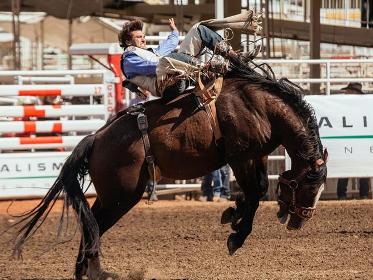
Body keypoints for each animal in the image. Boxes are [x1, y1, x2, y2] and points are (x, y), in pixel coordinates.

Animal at [11, 59, 326, 280]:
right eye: (308, 185)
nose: (300, 222)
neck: (259, 106)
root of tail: (96, 138)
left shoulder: (256, 155)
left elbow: (256, 191)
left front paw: (232, 215)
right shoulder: (240, 157)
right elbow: (255, 193)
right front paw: (236, 235)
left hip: (112, 195)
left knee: (91, 224)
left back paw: (86, 271)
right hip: (121, 196)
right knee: (95, 225)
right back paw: (95, 271)